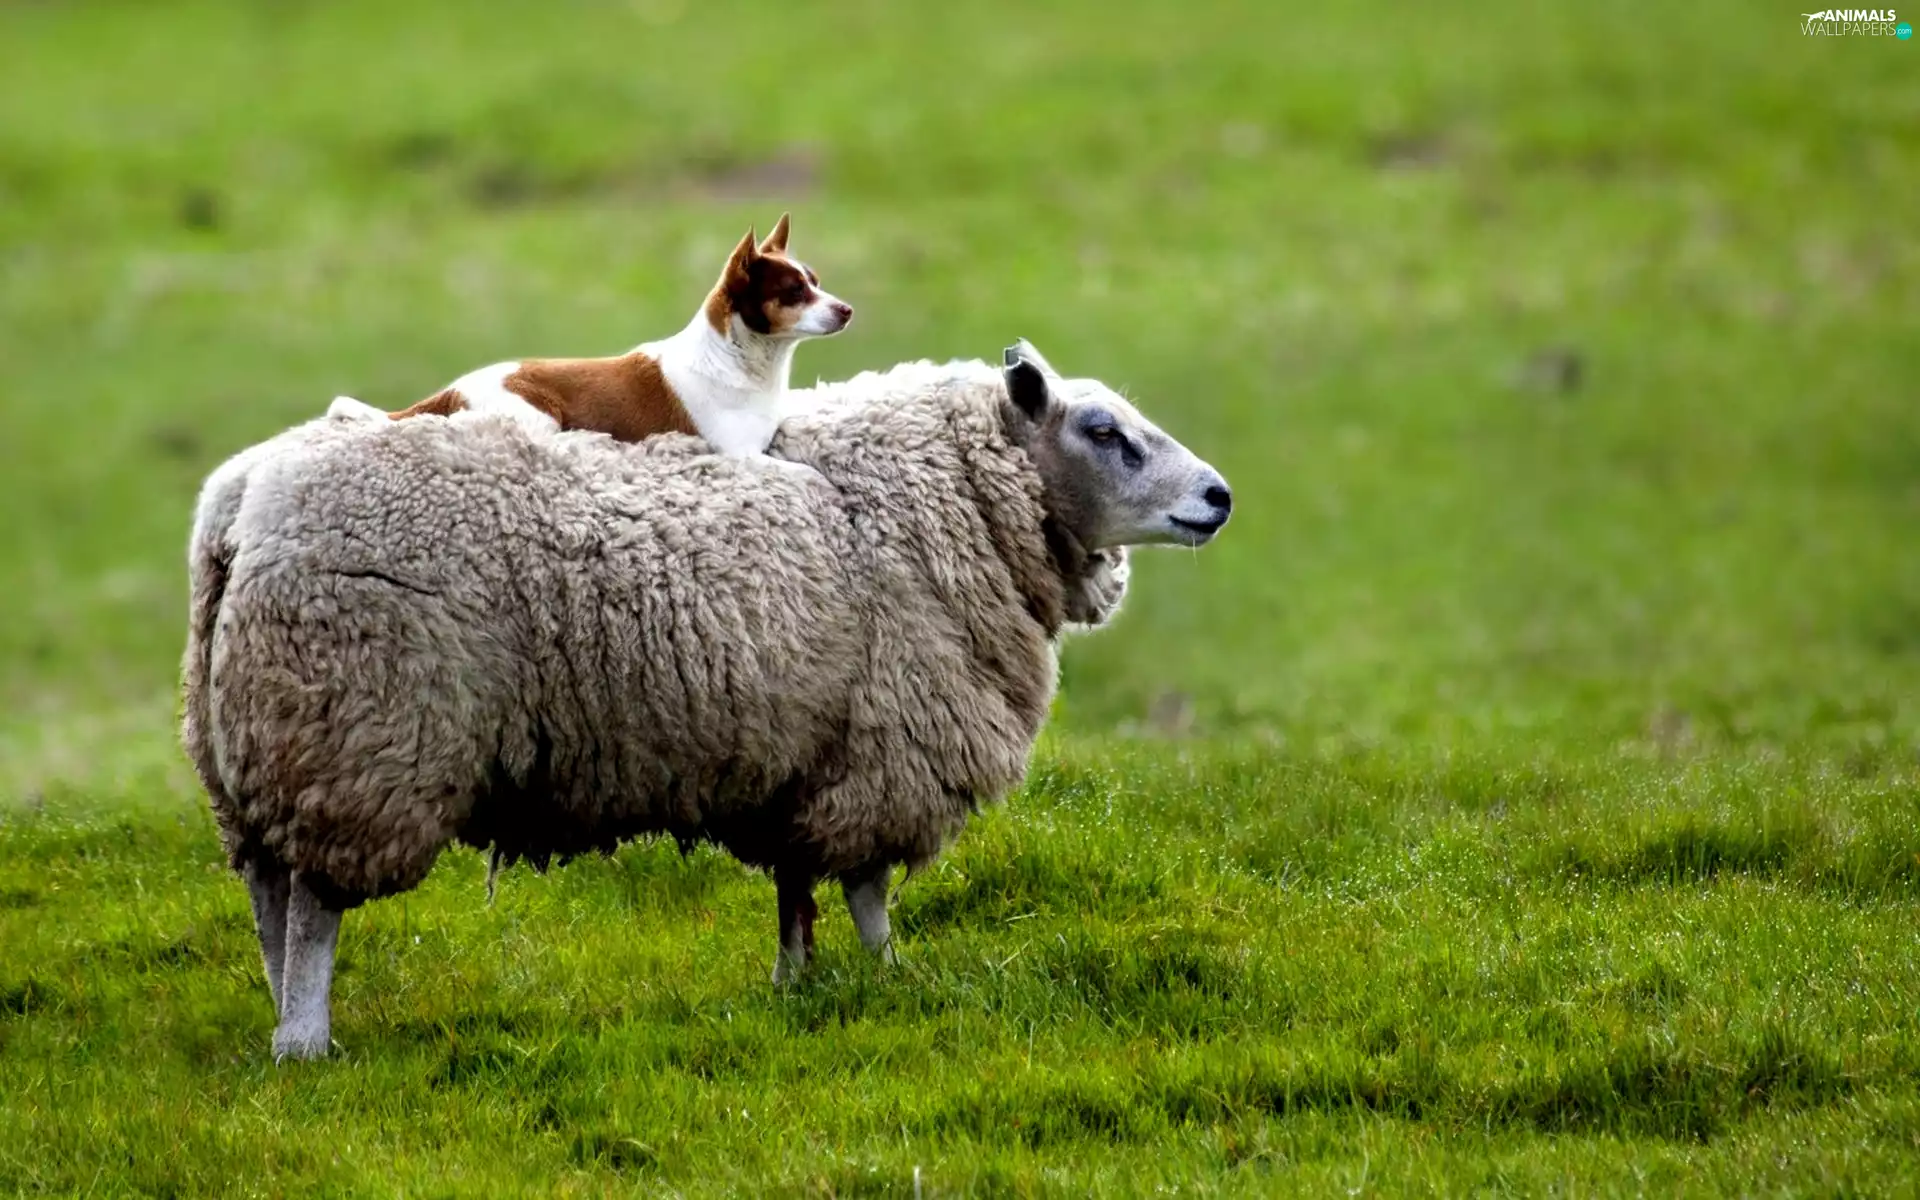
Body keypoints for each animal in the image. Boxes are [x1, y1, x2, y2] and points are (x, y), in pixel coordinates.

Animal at [181, 340, 1232, 1059]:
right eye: (1104, 433)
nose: (1219, 497)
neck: (944, 499)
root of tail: (243, 505)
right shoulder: (886, 749)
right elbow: (866, 890)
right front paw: (890, 977)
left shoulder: (806, 758)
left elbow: (797, 888)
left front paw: (797, 987)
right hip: (355, 736)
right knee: (314, 905)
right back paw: (306, 1040)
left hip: (253, 745)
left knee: (269, 893)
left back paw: (281, 1014)